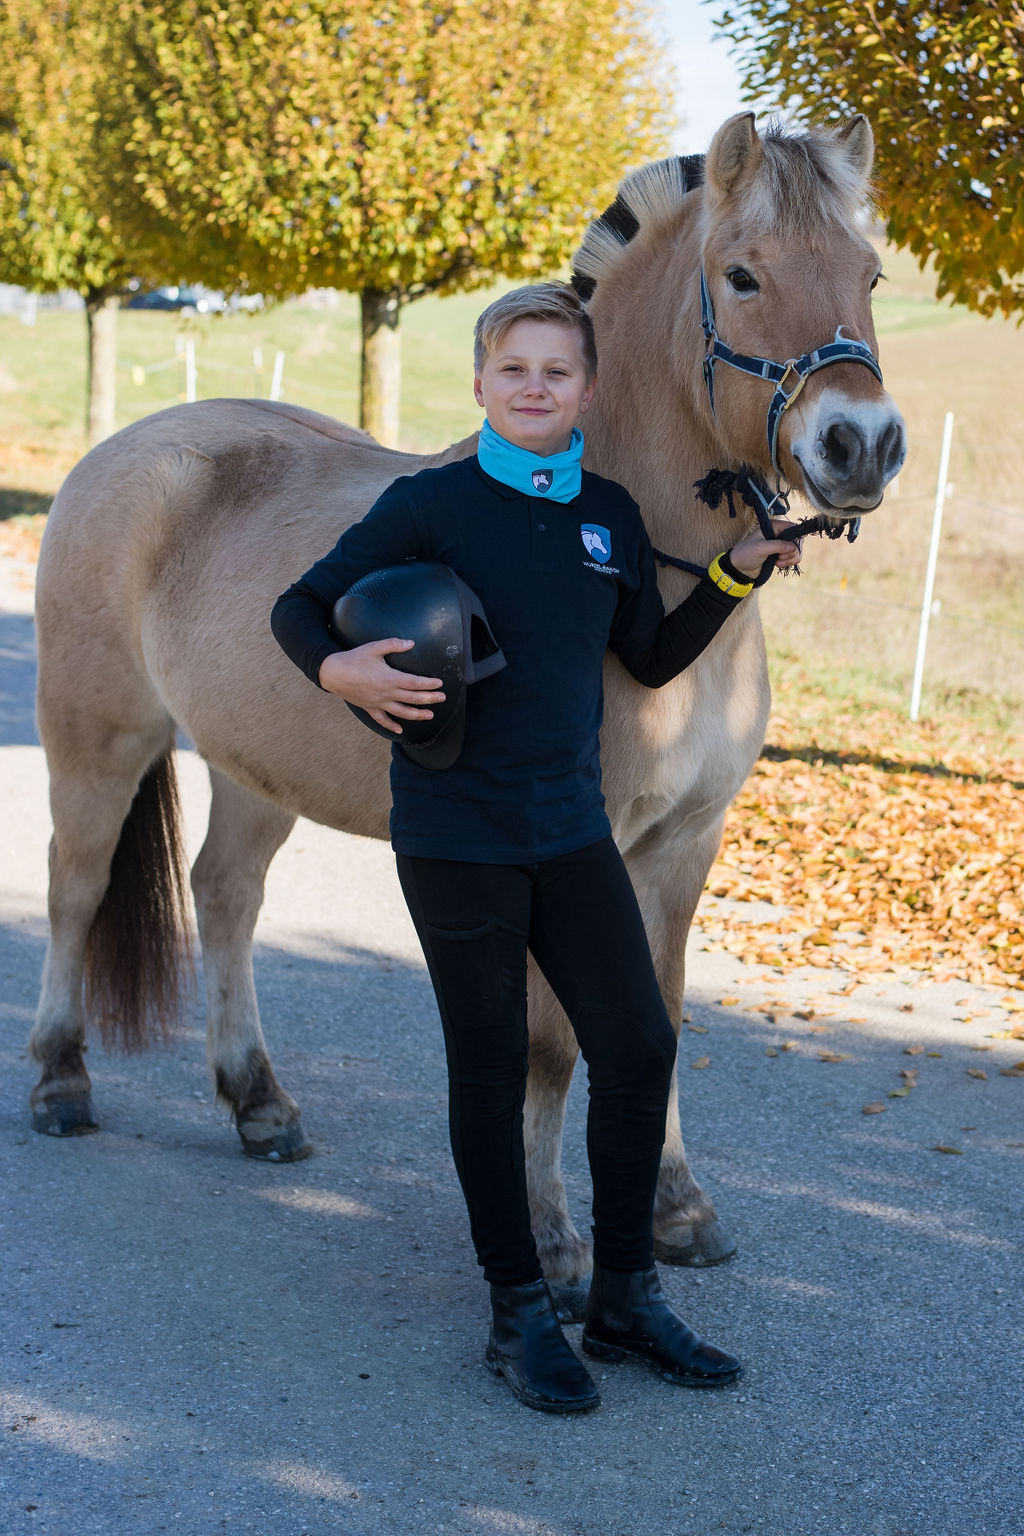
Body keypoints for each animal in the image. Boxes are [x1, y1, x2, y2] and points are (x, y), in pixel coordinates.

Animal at [28, 113, 905, 1313]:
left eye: (869, 274)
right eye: (743, 274)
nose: (862, 443)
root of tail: (119, 452)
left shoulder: (684, 848)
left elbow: (663, 1016)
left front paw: (677, 1211)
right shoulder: (568, 853)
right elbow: (547, 1046)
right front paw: (559, 1241)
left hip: (256, 771)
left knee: (227, 896)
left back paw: (260, 1102)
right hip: (97, 738)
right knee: (74, 887)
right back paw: (61, 1081)